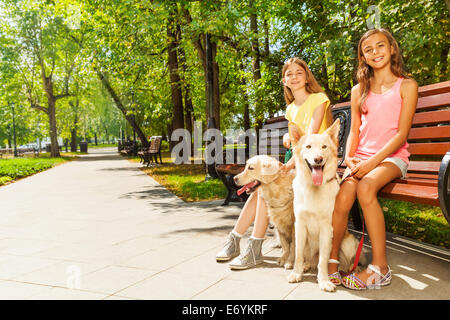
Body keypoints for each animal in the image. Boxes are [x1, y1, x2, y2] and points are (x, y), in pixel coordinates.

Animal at [288, 118, 358, 292]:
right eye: (308, 147)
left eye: (324, 147)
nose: (318, 159)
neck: (314, 188)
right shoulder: (300, 226)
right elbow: (298, 254)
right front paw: (296, 273)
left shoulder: (327, 228)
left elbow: (323, 259)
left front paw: (324, 280)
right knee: (307, 258)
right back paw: (306, 266)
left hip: (349, 242)